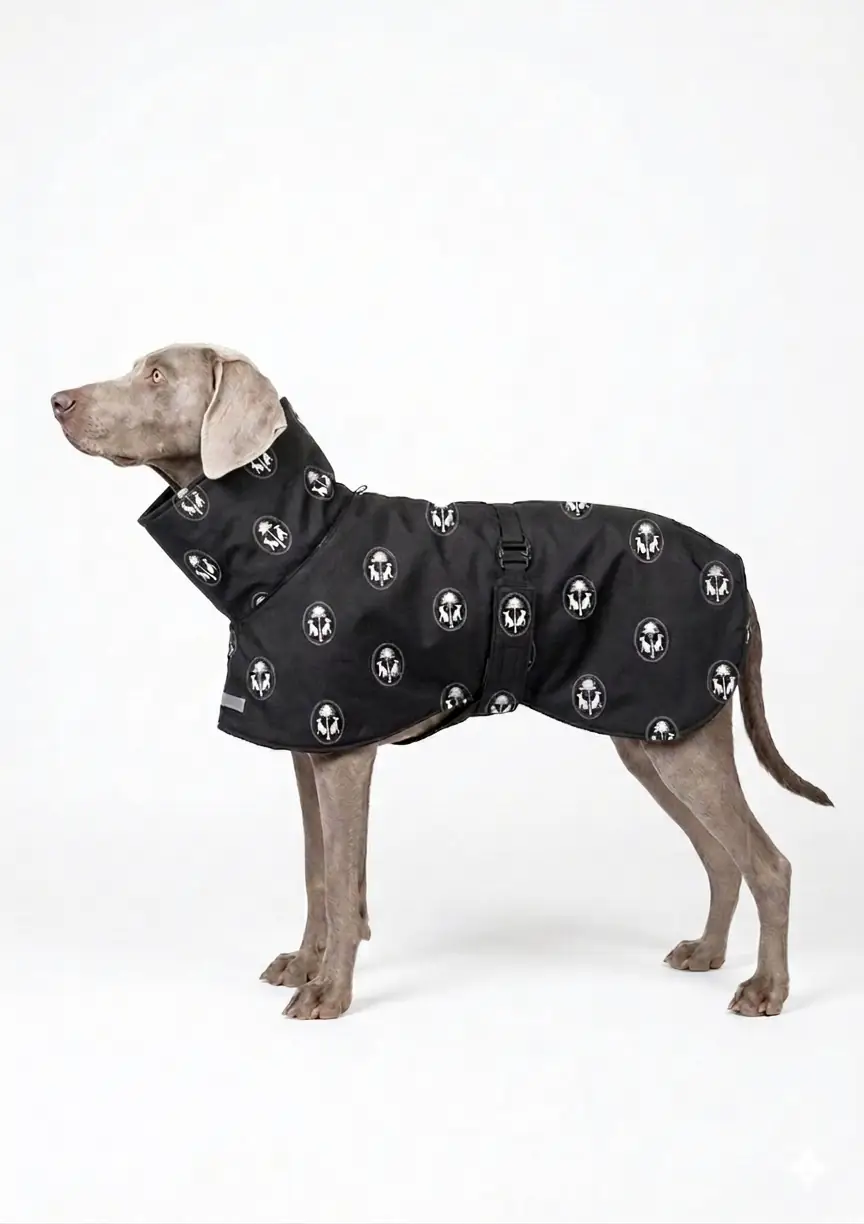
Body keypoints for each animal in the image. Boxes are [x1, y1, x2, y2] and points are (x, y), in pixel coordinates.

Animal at [52, 344, 832, 1020]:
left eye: (156, 375)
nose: (57, 400)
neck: (298, 543)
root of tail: (736, 570)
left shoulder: (343, 754)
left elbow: (342, 881)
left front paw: (329, 993)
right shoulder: (307, 749)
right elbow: (316, 872)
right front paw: (306, 964)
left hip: (681, 737)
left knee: (768, 864)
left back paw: (767, 988)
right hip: (652, 740)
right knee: (723, 857)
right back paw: (708, 953)